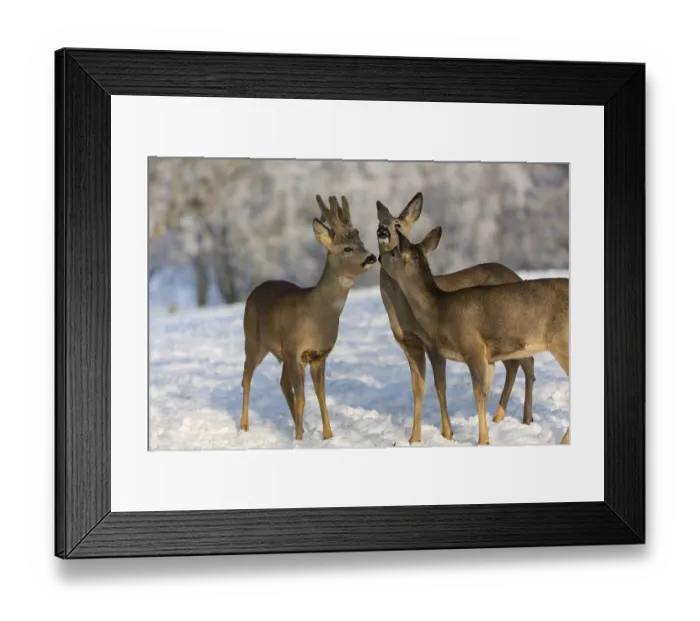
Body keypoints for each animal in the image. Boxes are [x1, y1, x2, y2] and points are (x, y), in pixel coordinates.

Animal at [240, 195, 377, 441]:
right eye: (347, 248)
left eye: (362, 243)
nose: (372, 257)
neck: (316, 315)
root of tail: (254, 291)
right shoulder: (295, 351)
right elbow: (303, 398)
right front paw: (299, 440)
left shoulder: (318, 355)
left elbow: (321, 396)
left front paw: (328, 436)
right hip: (253, 340)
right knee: (246, 377)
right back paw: (244, 426)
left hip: (282, 353)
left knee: (283, 383)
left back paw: (298, 427)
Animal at [380, 227, 569, 446]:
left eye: (394, 252)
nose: (379, 257)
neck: (439, 311)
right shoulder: (488, 358)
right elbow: (483, 394)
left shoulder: (473, 347)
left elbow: (478, 393)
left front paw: (482, 440)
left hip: (561, 341)